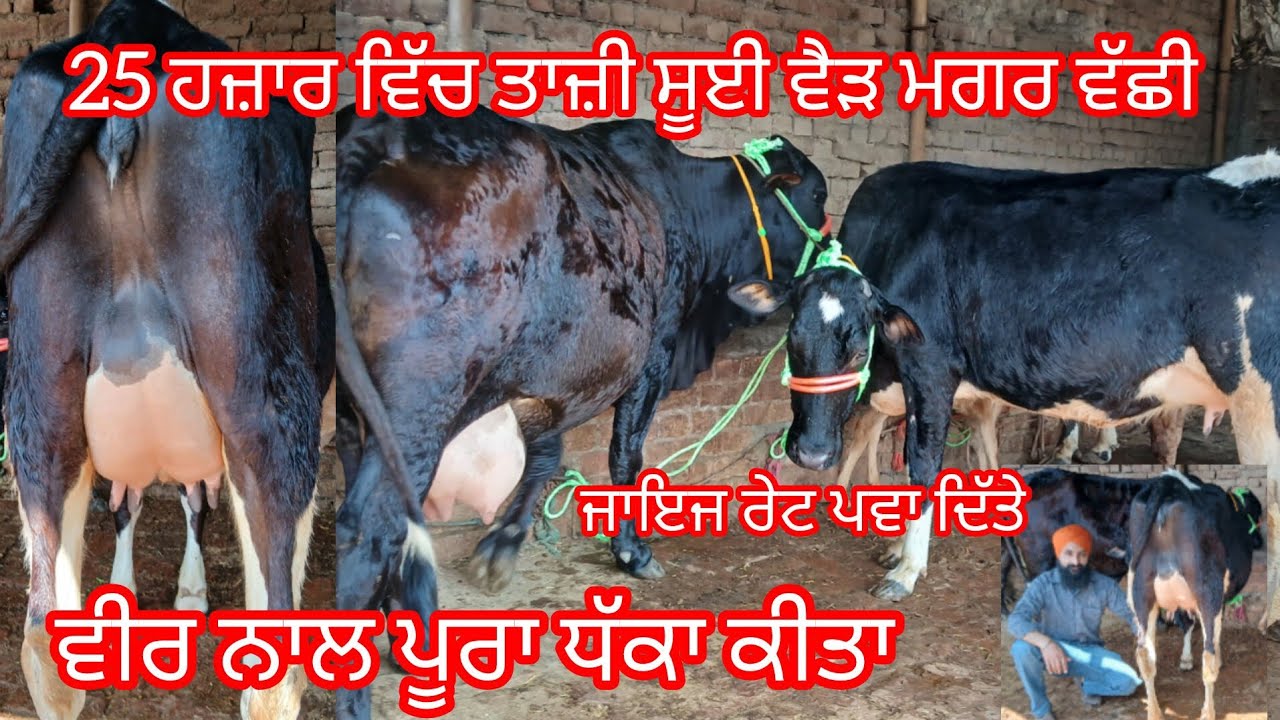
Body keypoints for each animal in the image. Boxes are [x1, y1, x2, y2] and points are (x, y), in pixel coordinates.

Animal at [1, 2, 333, 718]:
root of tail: (129, 25)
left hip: (42, 388)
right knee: (275, 670)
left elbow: (152, 503)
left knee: (41, 640)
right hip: (266, 395)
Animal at [333, 105, 830, 718]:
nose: (833, 250)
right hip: (419, 403)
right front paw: (631, 552)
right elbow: (625, 456)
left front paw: (501, 544)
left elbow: (546, 457)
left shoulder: (542, 380)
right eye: (817, 194)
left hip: (360, 413)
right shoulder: (653, 356)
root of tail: (378, 134)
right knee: (366, 529)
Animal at [726, 151, 1280, 604]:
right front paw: (896, 549)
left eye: (859, 344)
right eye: (793, 337)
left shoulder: (929, 365)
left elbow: (923, 466)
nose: (811, 453)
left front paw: (905, 570)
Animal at [1128, 470, 1259, 720]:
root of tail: (1168, 482)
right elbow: (1214, 632)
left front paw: (1185, 659)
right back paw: (1208, 711)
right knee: (1206, 658)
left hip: (1141, 592)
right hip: (1208, 590)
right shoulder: (1217, 597)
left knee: (1144, 655)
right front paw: (1217, 658)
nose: (1259, 540)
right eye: (1255, 514)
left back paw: (1155, 712)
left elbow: (1187, 624)